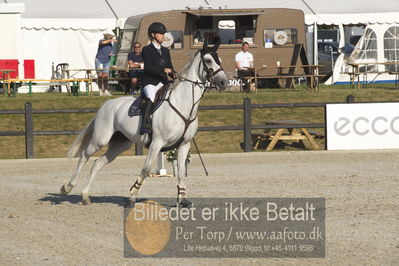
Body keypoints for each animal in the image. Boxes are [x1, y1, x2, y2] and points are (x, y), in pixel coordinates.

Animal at [59, 41, 228, 208]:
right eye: (208, 60)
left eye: (219, 59)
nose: (224, 82)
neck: (183, 104)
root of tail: (106, 105)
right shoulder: (157, 143)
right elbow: (146, 170)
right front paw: (132, 196)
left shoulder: (184, 145)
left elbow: (180, 172)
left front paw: (183, 200)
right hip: (100, 140)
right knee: (84, 156)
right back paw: (67, 187)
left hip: (120, 144)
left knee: (97, 163)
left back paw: (85, 195)